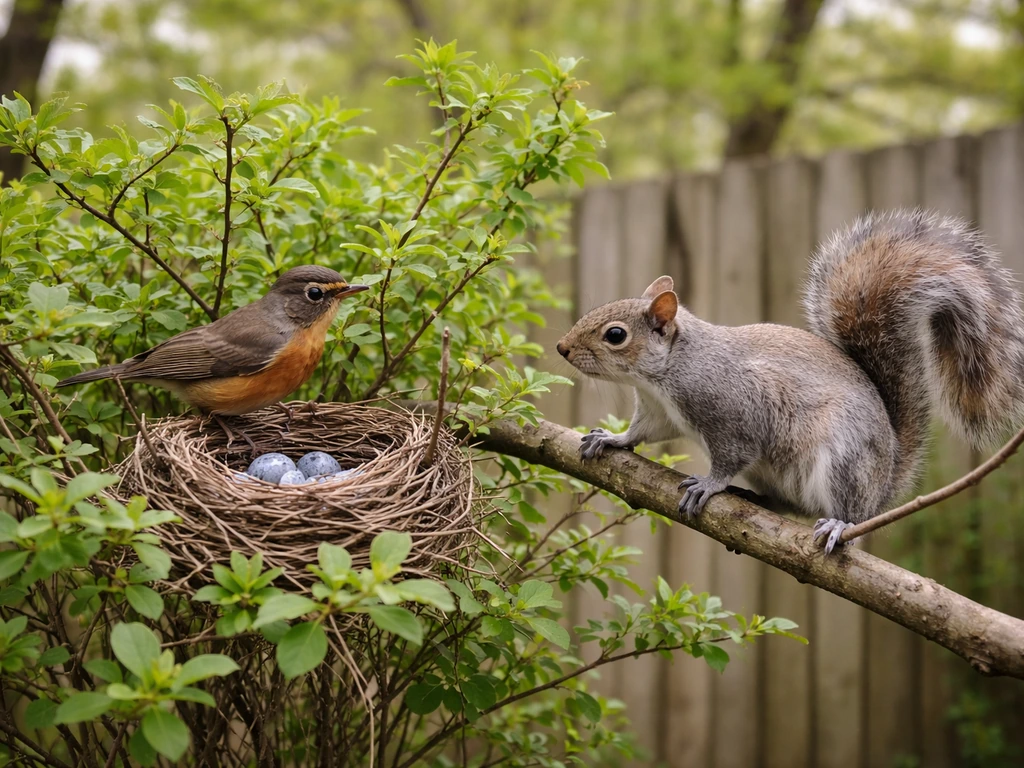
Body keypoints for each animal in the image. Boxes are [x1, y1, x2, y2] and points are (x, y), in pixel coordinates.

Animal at [555, 209, 1024, 553]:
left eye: (616, 335)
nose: (562, 348)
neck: (663, 376)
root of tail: (883, 487)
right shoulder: (658, 413)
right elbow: (643, 433)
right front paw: (611, 439)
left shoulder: (733, 411)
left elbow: (732, 453)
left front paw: (709, 483)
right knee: (789, 506)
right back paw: (755, 500)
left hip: (845, 459)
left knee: (847, 510)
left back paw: (837, 524)